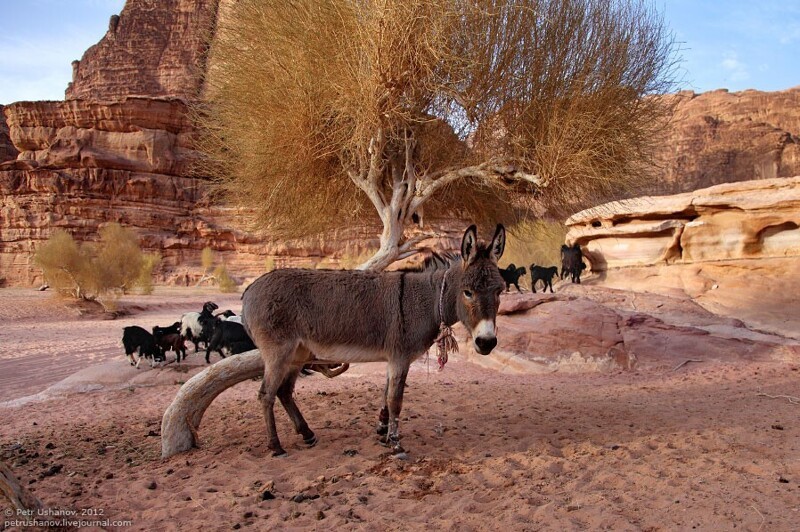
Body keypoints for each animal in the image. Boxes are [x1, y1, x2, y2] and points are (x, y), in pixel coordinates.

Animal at [242, 224, 506, 458]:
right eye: (468, 292)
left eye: (500, 291)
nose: (487, 343)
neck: (426, 302)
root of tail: (249, 290)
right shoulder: (400, 357)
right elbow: (395, 399)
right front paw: (396, 444)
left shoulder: (394, 358)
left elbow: (385, 393)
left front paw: (382, 429)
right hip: (279, 352)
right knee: (266, 394)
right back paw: (276, 447)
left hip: (299, 353)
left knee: (284, 391)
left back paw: (307, 434)